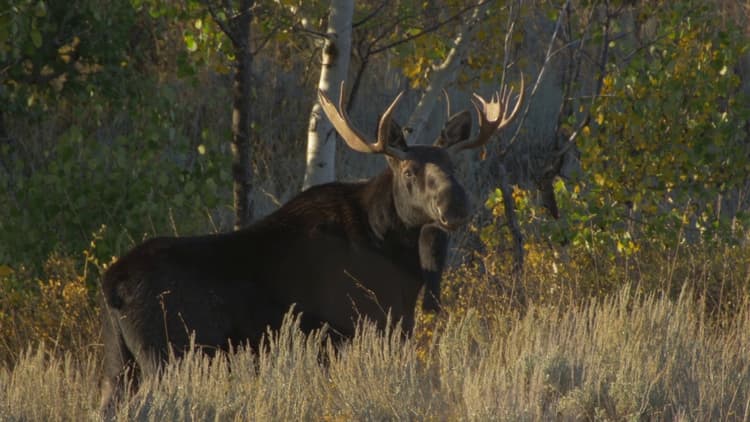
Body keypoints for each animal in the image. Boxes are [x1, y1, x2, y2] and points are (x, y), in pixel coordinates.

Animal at [98, 79, 524, 412]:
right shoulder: (350, 328)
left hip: (122, 363)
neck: (393, 252)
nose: (455, 204)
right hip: (164, 357)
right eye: (408, 170)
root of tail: (111, 284)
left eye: (453, 165)